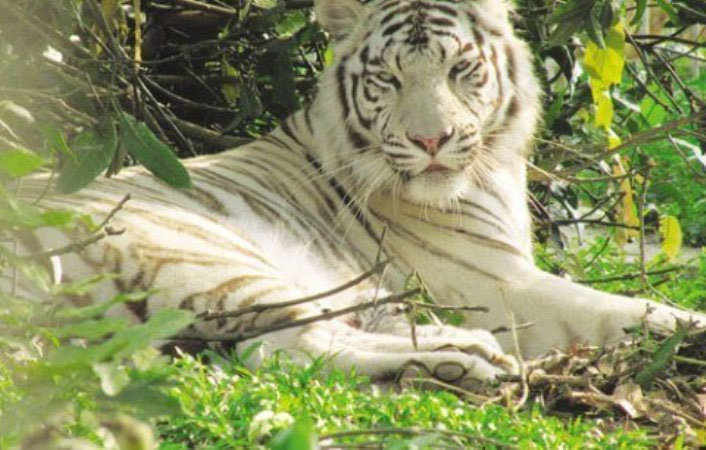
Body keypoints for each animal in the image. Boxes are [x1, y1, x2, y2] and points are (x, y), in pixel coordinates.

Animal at [6, 0, 705, 387]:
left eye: (461, 70)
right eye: (387, 79)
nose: (431, 140)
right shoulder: (498, 282)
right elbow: (629, 309)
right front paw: (687, 329)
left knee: (280, 348)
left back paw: (454, 355)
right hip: (206, 252)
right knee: (288, 349)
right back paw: (466, 358)